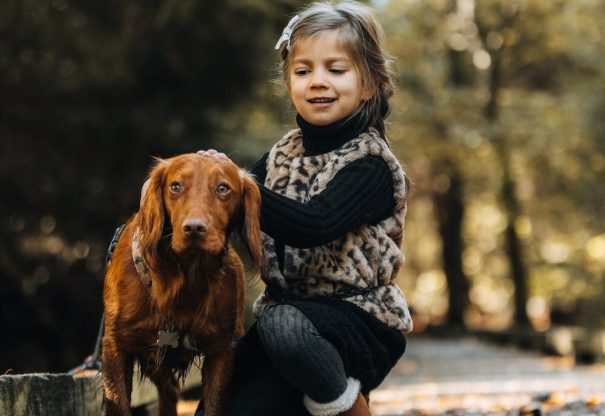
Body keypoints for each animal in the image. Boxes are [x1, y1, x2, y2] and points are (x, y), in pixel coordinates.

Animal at [102, 154, 262, 416]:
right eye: (175, 187)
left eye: (223, 188)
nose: (194, 228)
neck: (184, 277)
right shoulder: (116, 347)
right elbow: (119, 404)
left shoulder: (222, 351)